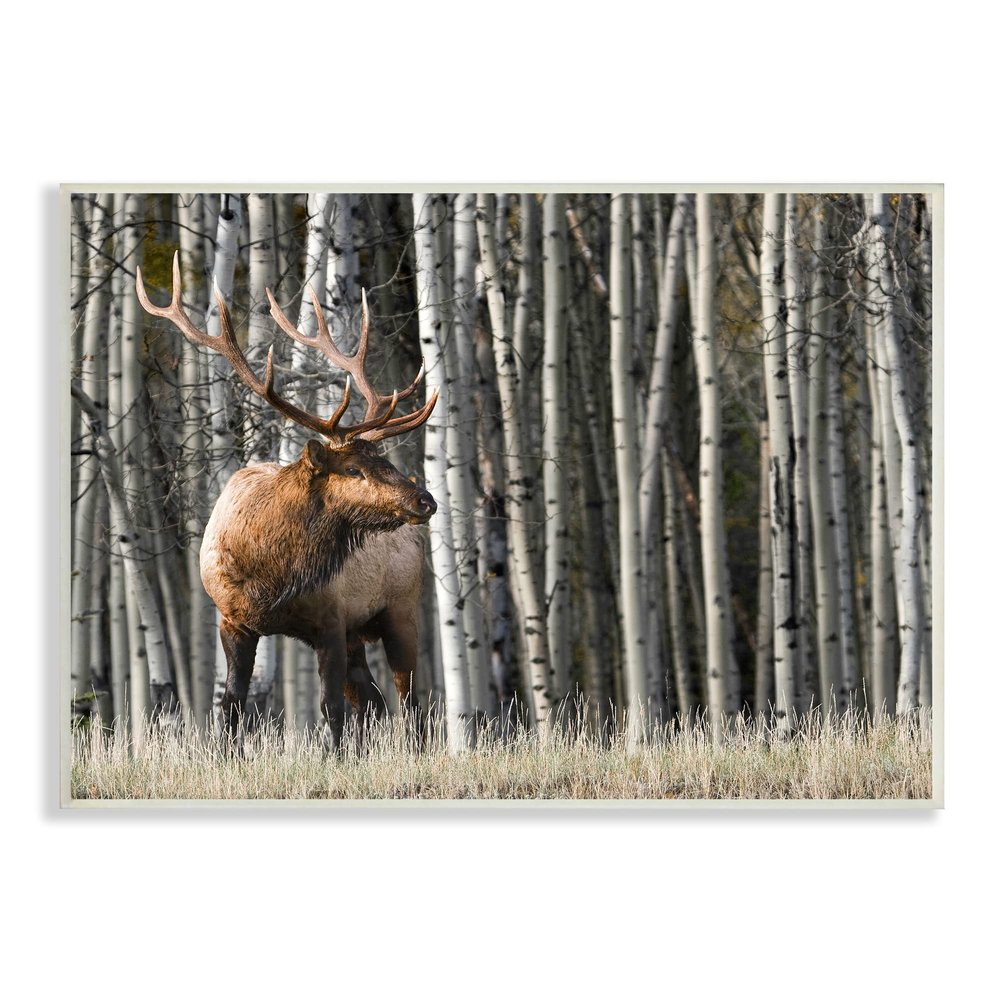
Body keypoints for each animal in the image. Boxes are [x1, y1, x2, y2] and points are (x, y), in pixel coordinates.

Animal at [136, 252, 439, 747]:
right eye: (353, 469)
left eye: (383, 459)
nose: (425, 499)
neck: (271, 576)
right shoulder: (234, 620)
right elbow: (232, 706)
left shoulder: (331, 619)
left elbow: (330, 708)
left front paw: (335, 758)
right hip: (362, 631)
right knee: (375, 702)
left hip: (402, 608)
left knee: (411, 703)